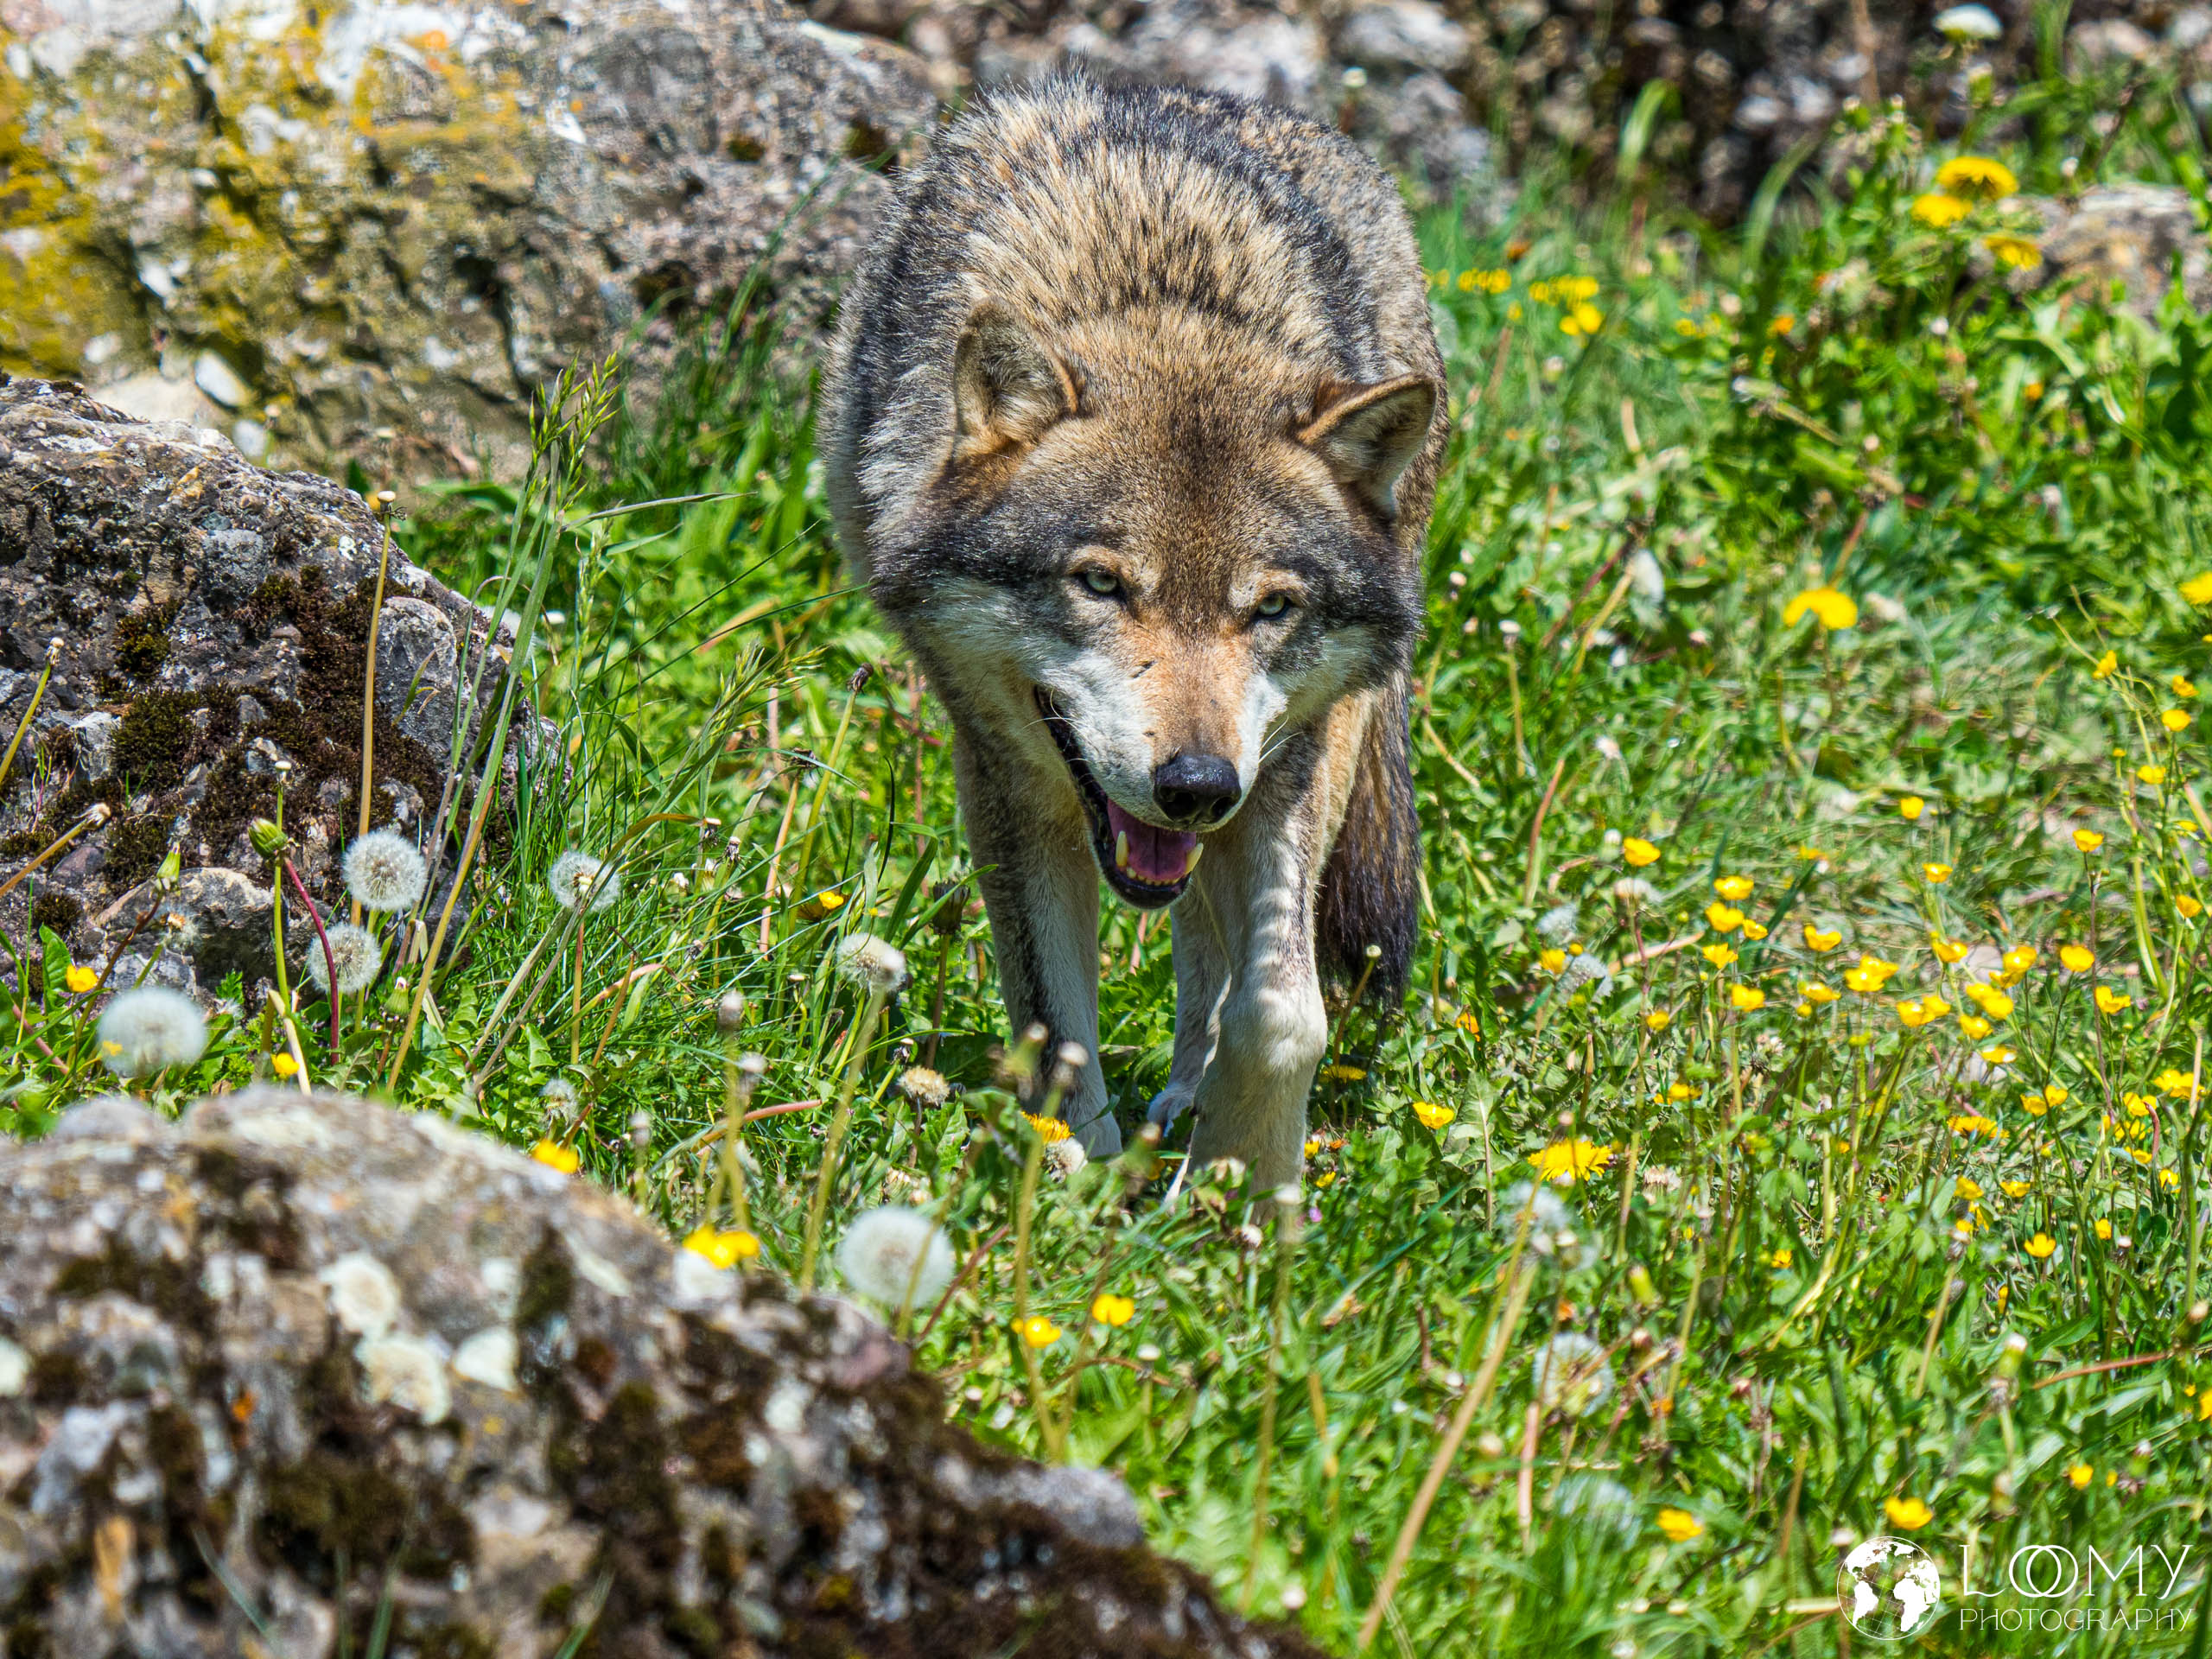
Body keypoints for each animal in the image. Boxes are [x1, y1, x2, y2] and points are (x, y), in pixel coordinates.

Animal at [822, 77, 1444, 1190]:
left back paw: (1191, 1107)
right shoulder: (1004, 779)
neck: (1163, 303)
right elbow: (1054, 1034)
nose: (1194, 786)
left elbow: (1282, 1015)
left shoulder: (1286, 763)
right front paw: (1073, 1191)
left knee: (1215, 945)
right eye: (1101, 584)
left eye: (1270, 608)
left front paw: (1239, 1194)